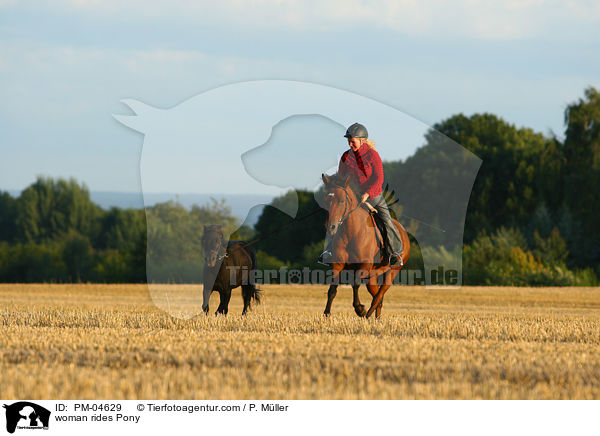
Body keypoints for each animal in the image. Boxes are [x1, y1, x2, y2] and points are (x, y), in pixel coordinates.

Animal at [322, 172, 410, 318]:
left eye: (341, 200)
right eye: (326, 201)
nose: (331, 227)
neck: (352, 232)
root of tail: (403, 232)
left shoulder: (363, 265)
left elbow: (355, 284)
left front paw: (359, 309)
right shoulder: (337, 264)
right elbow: (332, 289)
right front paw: (326, 314)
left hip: (392, 272)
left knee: (379, 295)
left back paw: (368, 314)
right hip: (372, 275)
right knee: (378, 296)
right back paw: (376, 318)